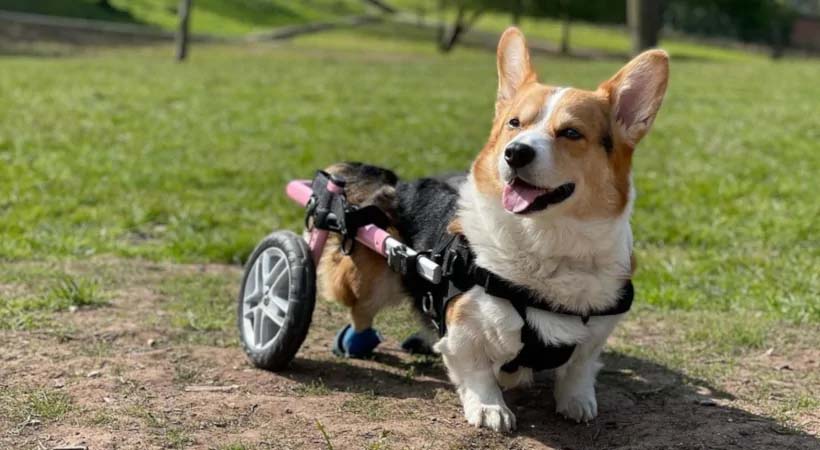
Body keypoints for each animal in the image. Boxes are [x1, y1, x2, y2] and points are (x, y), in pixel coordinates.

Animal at [314, 25, 668, 432]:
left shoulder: (595, 334)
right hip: (372, 278)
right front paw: (489, 407)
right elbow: (475, 370)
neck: (547, 242)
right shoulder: (462, 330)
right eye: (514, 123)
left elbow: (578, 368)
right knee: (361, 311)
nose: (515, 152)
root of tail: (398, 184)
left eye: (571, 133)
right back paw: (356, 341)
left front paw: (576, 401)